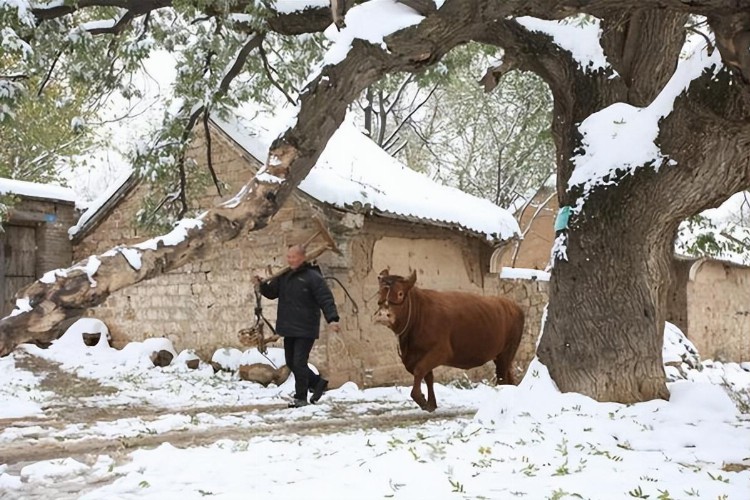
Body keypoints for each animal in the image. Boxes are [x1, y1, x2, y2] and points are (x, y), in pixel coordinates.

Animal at [374, 268, 524, 412]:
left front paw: (421, 399)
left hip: (507, 352)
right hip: (500, 356)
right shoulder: (414, 356)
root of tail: (512, 305)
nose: (383, 315)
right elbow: (428, 376)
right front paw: (431, 403)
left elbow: (420, 370)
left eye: (400, 293)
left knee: (502, 377)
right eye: (379, 292)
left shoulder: (440, 351)